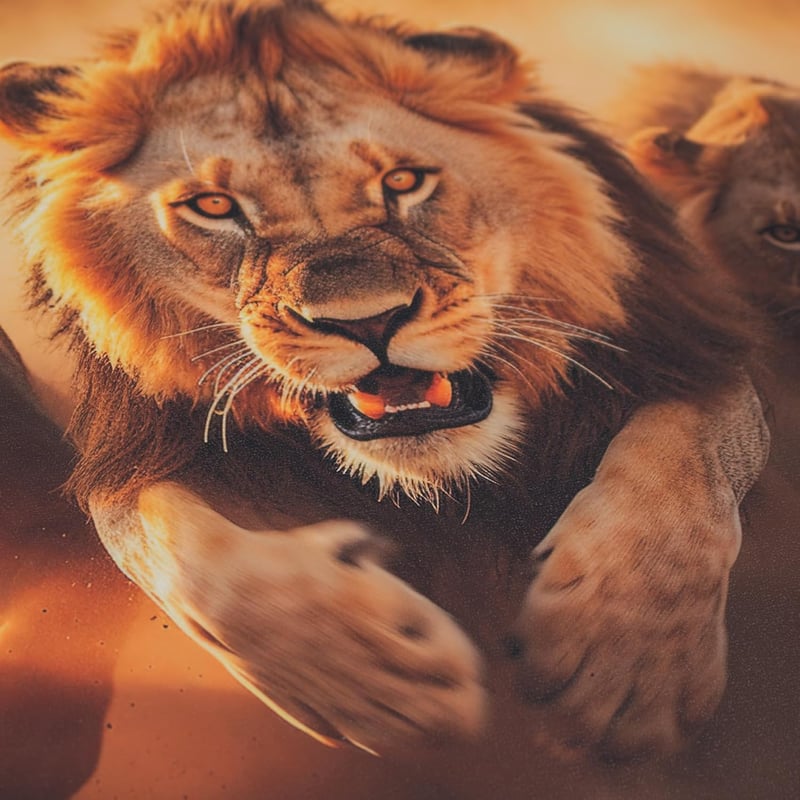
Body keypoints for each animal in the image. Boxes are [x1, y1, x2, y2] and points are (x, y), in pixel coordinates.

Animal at [0, 0, 770, 762]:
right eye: (214, 207)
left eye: (404, 182)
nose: (369, 322)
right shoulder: (140, 446)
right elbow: (145, 526)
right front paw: (368, 674)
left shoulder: (694, 353)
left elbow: (688, 449)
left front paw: (624, 657)